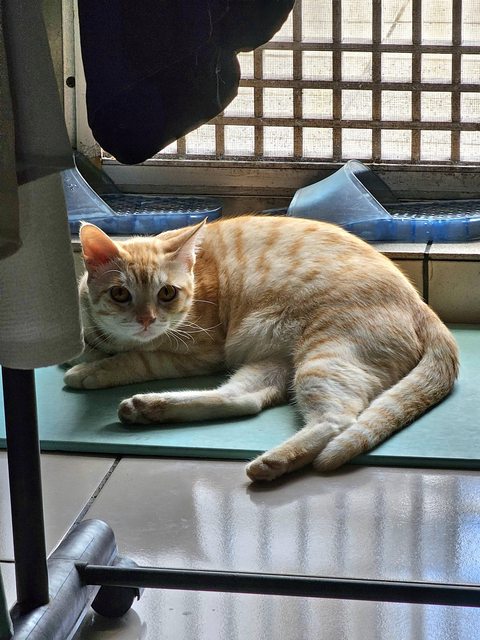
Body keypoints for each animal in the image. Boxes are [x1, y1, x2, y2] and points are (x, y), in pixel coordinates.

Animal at [65, 215, 459, 481]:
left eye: (167, 293)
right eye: (120, 294)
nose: (146, 320)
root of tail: (421, 305)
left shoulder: (201, 351)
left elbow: (137, 359)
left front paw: (90, 371)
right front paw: (85, 354)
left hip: (322, 358)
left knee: (337, 421)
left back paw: (275, 461)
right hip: (274, 361)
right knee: (243, 399)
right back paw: (148, 407)